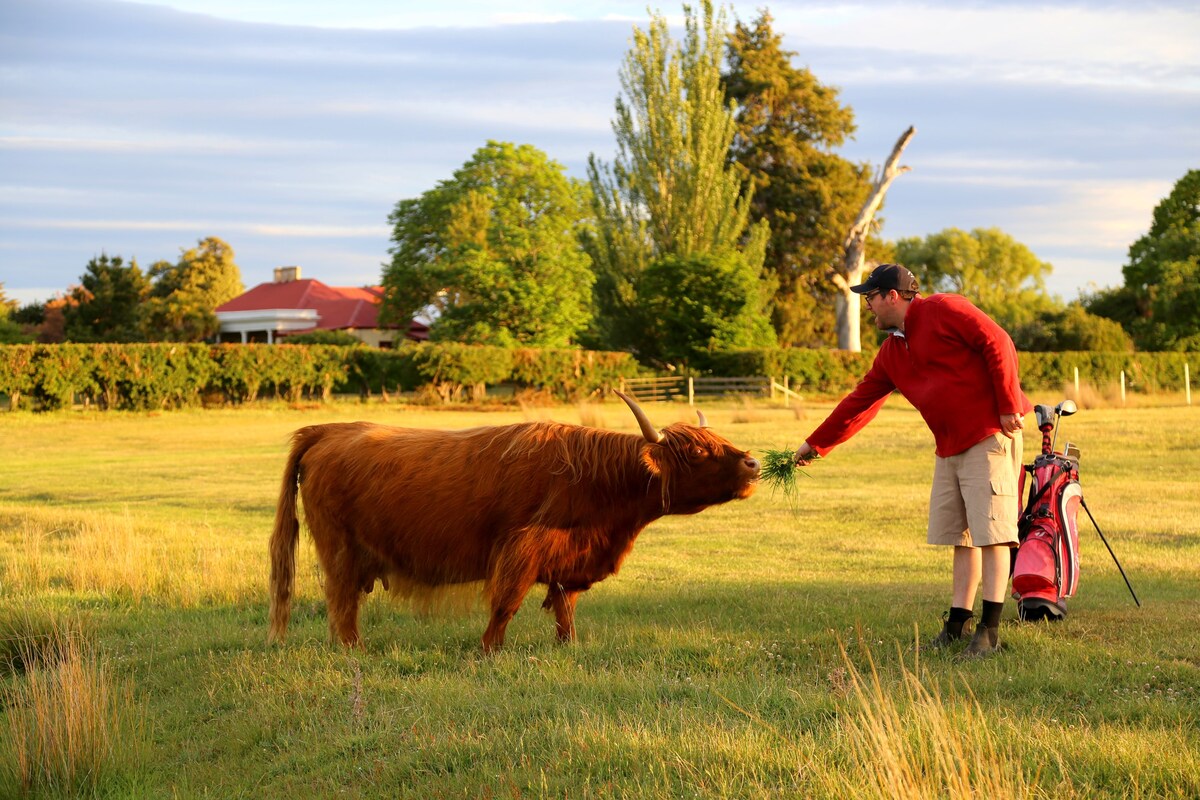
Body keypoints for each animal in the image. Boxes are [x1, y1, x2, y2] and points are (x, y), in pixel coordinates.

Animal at [272, 393, 758, 652]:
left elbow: (565, 608)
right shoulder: (521, 551)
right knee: (341, 603)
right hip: (339, 548)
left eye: (721, 440)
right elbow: (506, 604)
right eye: (699, 451)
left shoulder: (569, 562)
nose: (753, 464)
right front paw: (489, 650)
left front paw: (567, 646)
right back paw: (354, 650)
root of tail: (328, 430)